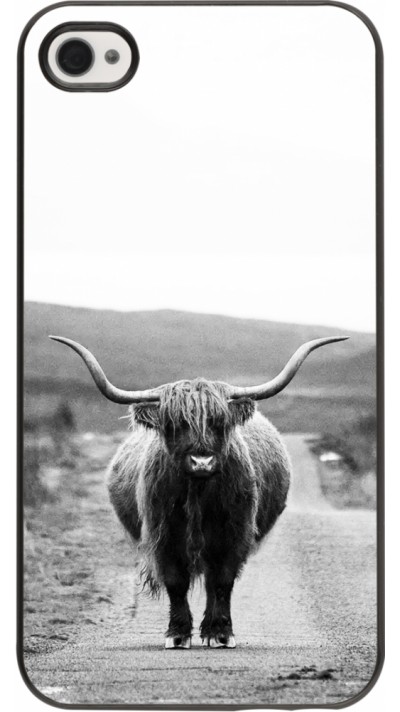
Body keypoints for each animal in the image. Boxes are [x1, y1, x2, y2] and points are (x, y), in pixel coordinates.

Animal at [50, 334, 347, 649]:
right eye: (174, 424)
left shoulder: (234, 534)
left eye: (219, 422)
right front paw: (177, 634)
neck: (198, 493)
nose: (201, 461)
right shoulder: (163, 535)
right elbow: (176, 582)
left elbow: (222, 581)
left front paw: (220, 632)